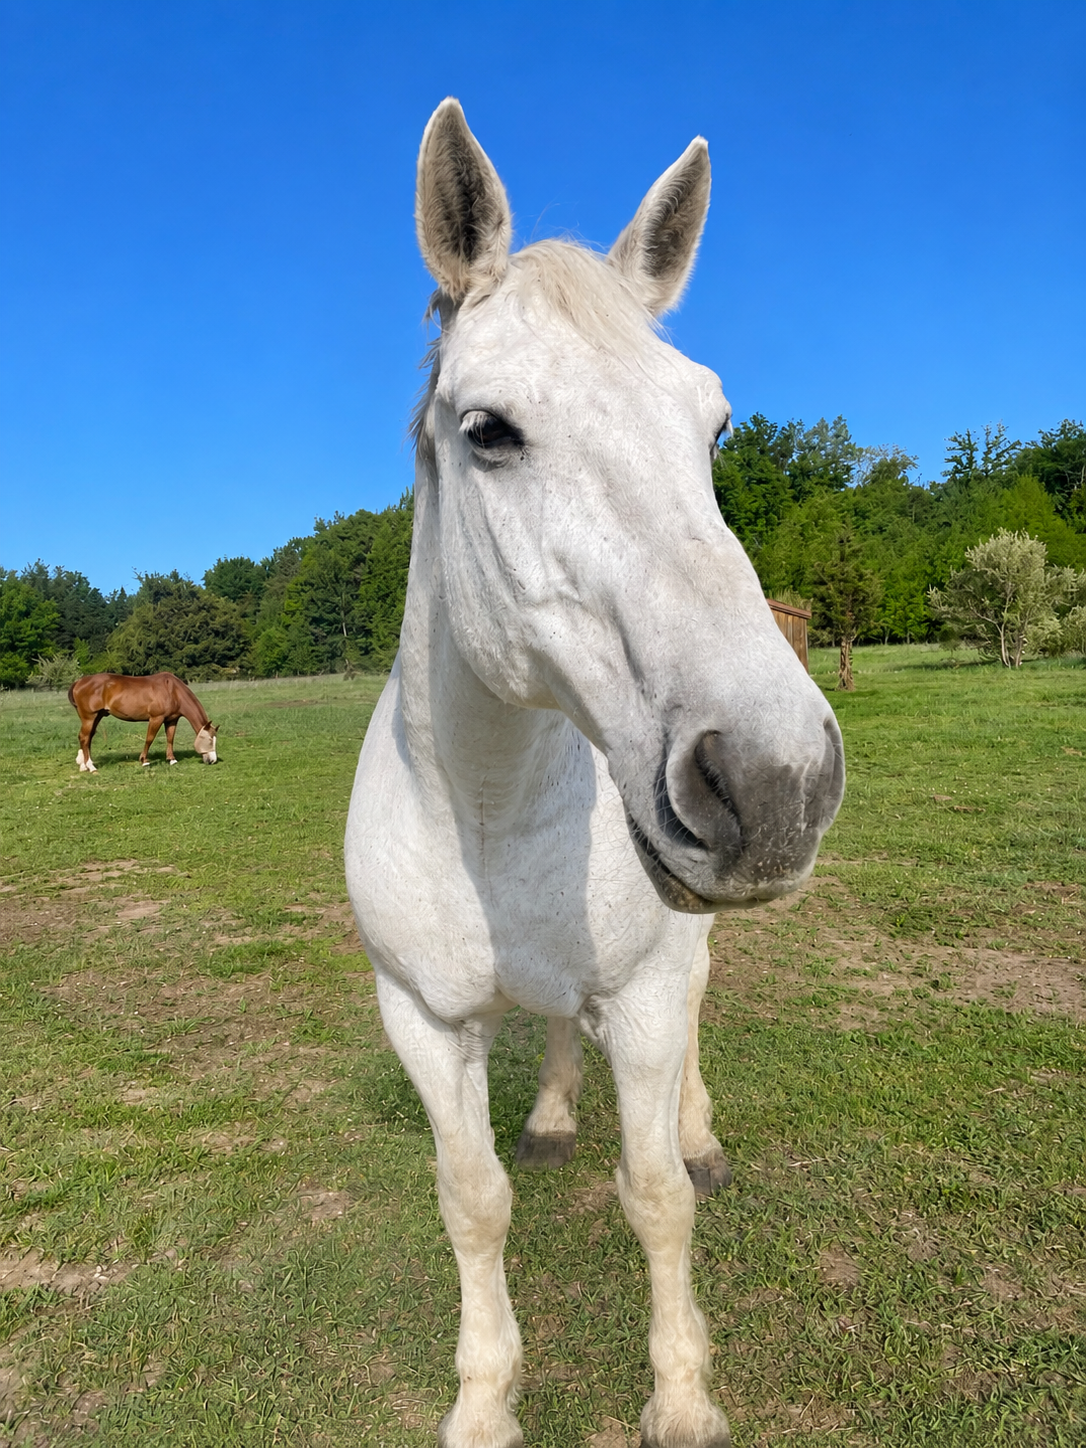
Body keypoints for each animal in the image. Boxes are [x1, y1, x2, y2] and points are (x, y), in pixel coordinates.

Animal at [68, 672, 218, 771]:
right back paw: (90, 766)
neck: (172, 691)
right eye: (210, 740)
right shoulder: (156, 718)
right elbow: (149, 739)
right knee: (84, 737)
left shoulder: (172, 720)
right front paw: (144, 761)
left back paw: (85, 764)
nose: (213, 760)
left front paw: (172, 759)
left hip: (97, 716)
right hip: (89, 717)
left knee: (88, 737)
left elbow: (170, 738)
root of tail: (78, 682)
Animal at [344, 100, 844, 1448]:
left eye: (714, 424)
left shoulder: (652, 990)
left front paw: (681, 1398)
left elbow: (658, 1195)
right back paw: (560, 1109)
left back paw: (697, 1125)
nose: (775, 779)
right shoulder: (422, 1020)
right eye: (488, 430)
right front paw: (484, 1400)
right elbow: (472, 1199)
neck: (489, 803)